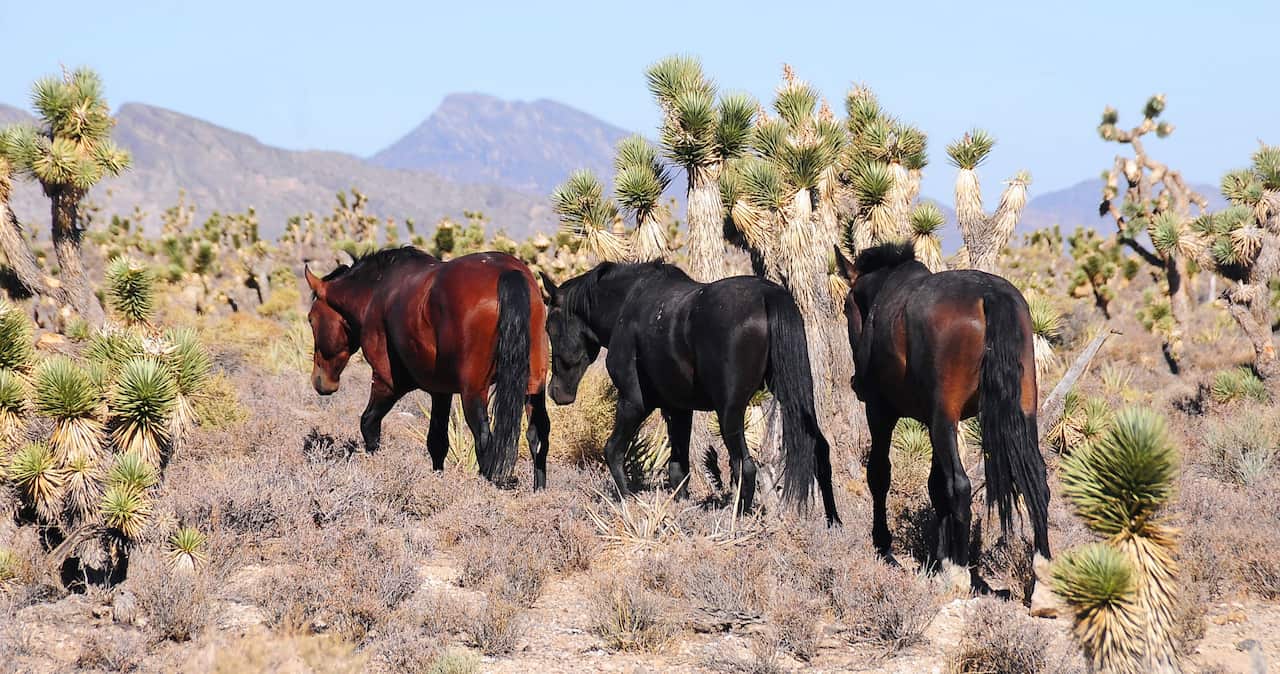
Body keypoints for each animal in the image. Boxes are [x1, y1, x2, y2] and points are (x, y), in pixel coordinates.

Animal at [303, 247, 551, 487]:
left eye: (311, 319)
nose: (320, 381)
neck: (377, 291)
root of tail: (507, 272)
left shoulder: (388, 382)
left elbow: (369, 423)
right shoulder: (441, 391)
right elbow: (437, 442)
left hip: (473, 392)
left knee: (484, 439)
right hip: (533, 386)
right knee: (537, 434)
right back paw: (538, 492)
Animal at [539, 261, 839, 524]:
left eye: (549, 326)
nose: (556, 392)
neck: (627, 304)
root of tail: (768, 295)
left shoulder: (634, 402)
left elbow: (613, 450)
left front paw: (627, 503)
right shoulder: (678, 409)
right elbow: (678, 468)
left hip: (729, 412)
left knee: (745, 465)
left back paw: (738, 521)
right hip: (792, 397)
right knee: (820, 449)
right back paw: (832, 522)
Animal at [833, 242, 1055, 609]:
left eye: (847, 306)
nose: (856, 383)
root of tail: (990, 295)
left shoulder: (882, 412)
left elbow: (880, 474)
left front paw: (885, 545)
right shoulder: (934, 421)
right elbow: (936, 487)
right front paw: (939, 560)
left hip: (942, 419)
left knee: (961, 485)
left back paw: (960, 576)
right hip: (1020, 410)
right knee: (1036, 479)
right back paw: (1044, 581)